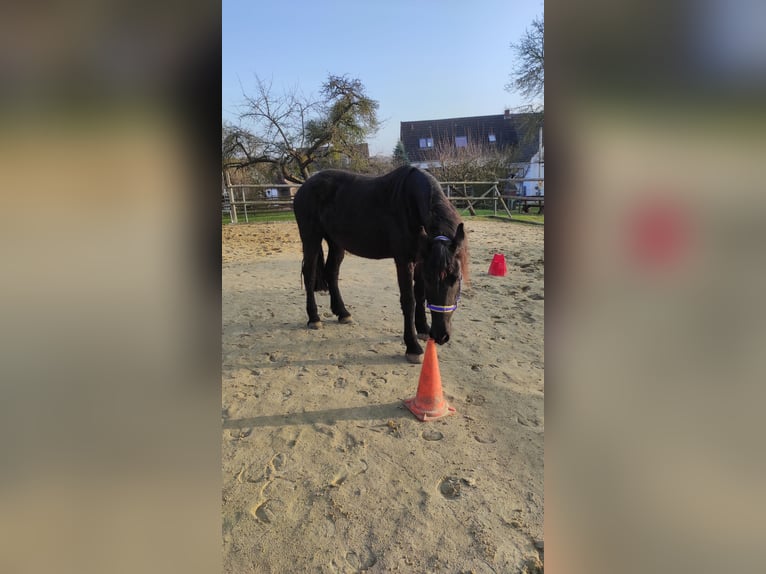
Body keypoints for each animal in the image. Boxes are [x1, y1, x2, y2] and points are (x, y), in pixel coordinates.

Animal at [293, 165, 468, 363]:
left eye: (456, 277)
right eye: (431, 278)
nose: (440, 335)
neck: (410, 203)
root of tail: (305, 186)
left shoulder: (421, 259)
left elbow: (420, 293)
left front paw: (423, 329)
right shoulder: (403, 260)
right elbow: (409, 300)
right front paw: (413, 347)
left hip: (336, 243)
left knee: (332, 273)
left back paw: (343, 313)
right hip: (311, 238)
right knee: (309, 274)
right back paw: (314, 318)